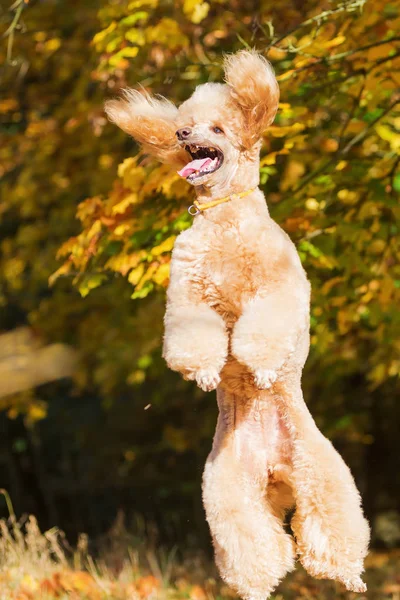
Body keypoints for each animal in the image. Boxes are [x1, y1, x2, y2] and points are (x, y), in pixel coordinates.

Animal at [105, 49, 368, 596]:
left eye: (218, 128)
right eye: (184, 126)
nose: (183, 134)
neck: (224, 218)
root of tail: (275, 471)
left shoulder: (276, 287)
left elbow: (263, 329)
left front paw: (262, 369)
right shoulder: (188, 294)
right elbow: (195, 335)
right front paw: (206, 373)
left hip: (322, 475)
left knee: (331, 530)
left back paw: (351, 576)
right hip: (230, 494)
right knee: (256, 549)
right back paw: (255, 587)